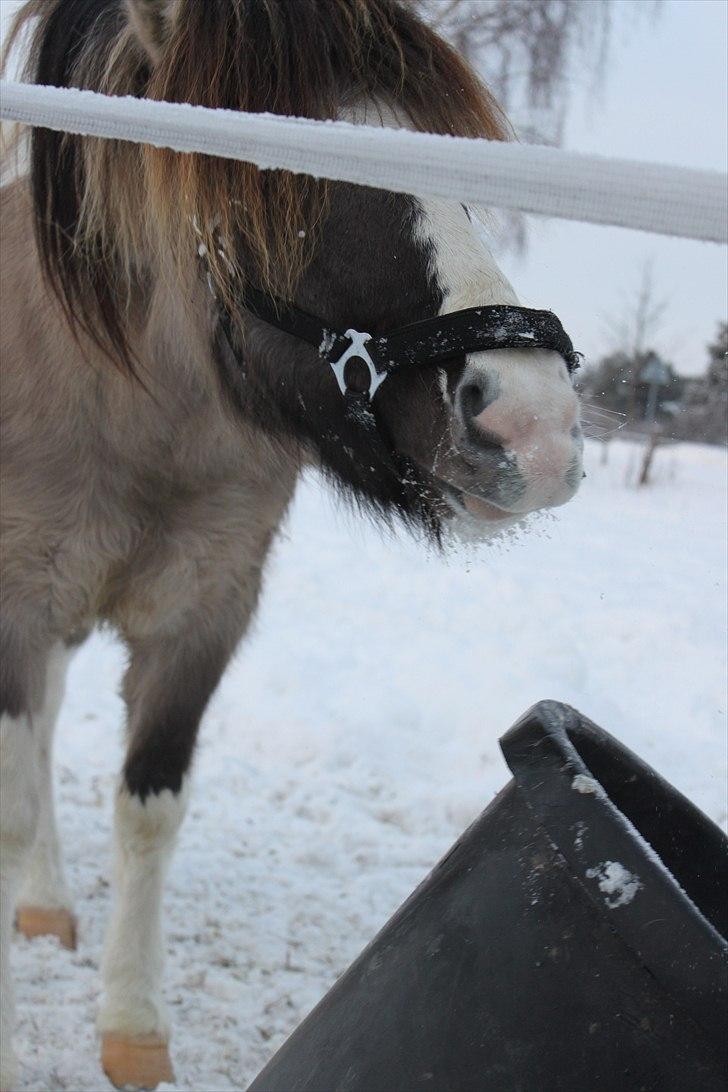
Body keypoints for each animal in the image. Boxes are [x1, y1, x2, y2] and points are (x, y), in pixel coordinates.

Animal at [0, 4, 580, 1087]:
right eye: (277, 179)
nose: (533, 424)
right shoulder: (16, 611)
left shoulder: (204, 619)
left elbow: (149, 810)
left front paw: (134, 1030)